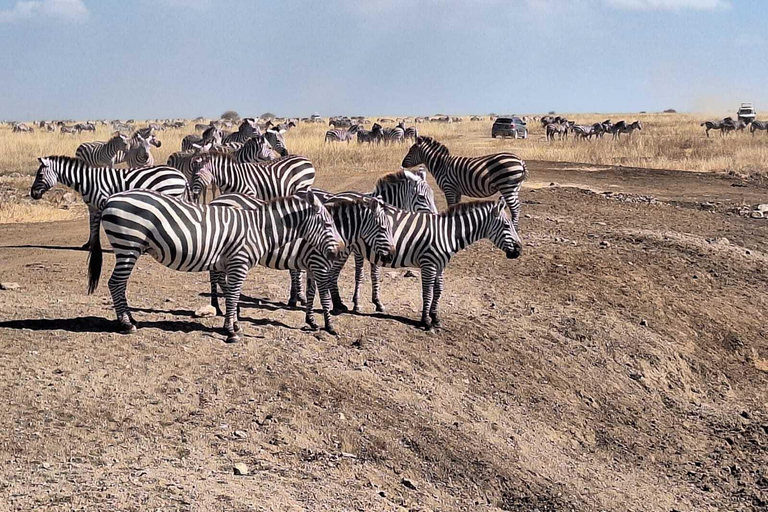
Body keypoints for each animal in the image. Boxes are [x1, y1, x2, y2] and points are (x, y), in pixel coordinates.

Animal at [30, 155, 189, 249]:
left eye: (40, 175)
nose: (33, 194)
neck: (87, 181)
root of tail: (181, 175)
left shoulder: (102, 201)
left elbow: (98, 225)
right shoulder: (92, 207)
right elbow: (91, 225)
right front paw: (88, 244)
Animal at [83, 189, 342, 344]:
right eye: (328, 224)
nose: (339, 250)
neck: (258, 229)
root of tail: (111, 199)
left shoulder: (228, 264)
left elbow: (230, 294)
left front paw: (234, 324)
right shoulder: (239, 262)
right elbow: (233, 295)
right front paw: (231, 331)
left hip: (127, 247)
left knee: (118, 285)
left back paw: (131, 320)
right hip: (128, 245)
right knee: (116, 283)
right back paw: (126, 324)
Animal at [207, 191, 392, 332]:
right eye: (383, 228)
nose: (390, 256)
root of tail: (216, 200)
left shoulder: (311, 266)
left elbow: (311, 293)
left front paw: (311, 321)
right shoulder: (319, 265)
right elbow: (324, 297)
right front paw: (329, 325)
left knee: (219, 278)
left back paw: (230, 308)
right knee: (216, 277)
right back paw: (219, 307)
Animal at [330, 196, 520, 328]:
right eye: (506, 226)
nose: (519, 250)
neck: (447, 233)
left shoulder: (440, 265)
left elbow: (438, 290)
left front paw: (435, 317)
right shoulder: (428, 263)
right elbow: (427, 292)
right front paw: (425, 320)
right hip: (344, 249)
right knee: (332, 275)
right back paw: (340, 305)